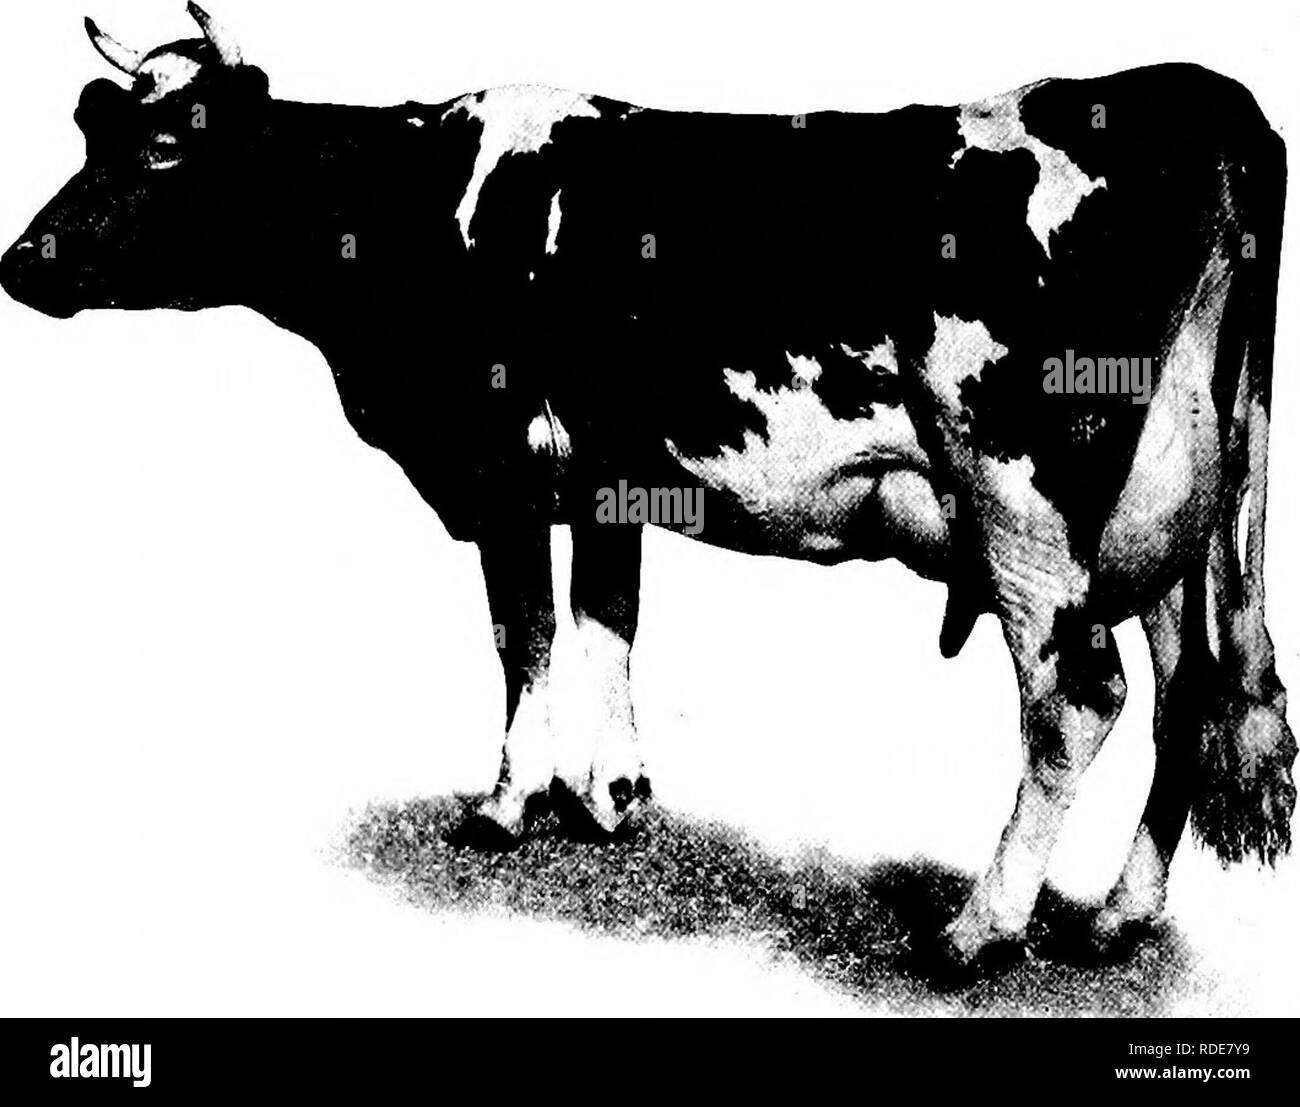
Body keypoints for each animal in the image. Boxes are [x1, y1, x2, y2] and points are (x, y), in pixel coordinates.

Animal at [2, 5, 1295, 973]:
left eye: (165, 147)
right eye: (90, 127)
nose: (22, 263)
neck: (415, 209)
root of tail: (1188, 94)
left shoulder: (501, 463)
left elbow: (525, 633)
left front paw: (506, 807)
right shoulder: (611, 470)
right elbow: (608, 617)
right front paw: (614, 793)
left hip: (1023, 503)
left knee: (1075, 697)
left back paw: (975, 931)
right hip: (1170, 512)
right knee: (1188, 689)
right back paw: (1119, 914)